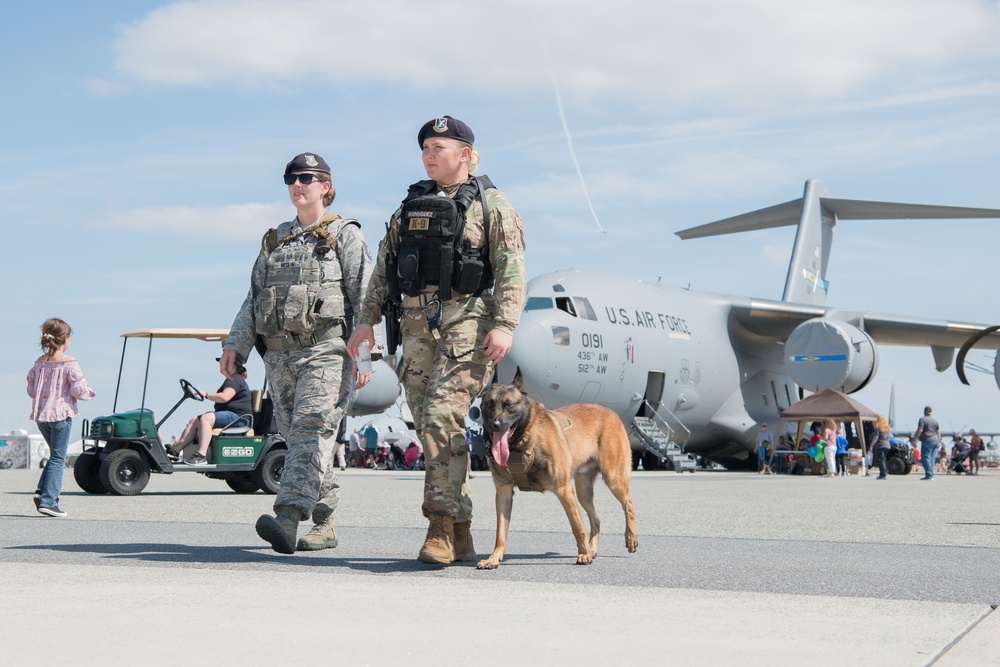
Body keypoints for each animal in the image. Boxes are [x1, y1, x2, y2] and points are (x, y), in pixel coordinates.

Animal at [474, 368, 632, 572]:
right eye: (489, 404)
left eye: (509, 404)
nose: (495, 424)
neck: (522, 443)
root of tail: (612, 412)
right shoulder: (503, 493)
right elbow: (501, 532)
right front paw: (493, 558)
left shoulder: (564, 490)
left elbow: (577, 526)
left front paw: (584, 554)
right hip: (583, 492)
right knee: (596, 520)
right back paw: (593, 548)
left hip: (612, 479)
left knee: (628, 503)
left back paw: (631, 538)